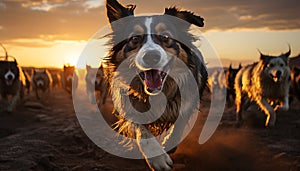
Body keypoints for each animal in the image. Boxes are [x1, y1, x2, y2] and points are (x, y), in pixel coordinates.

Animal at [102, 0, 207, 170]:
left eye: (165, 36)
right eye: (135, 38)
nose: (151, 56)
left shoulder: (188, 99)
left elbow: (179, 125)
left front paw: (170, 145)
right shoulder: (128, 103)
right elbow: (141, 130)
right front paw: (158, 157)